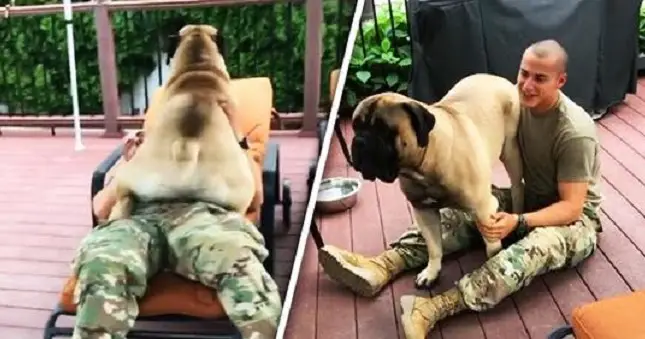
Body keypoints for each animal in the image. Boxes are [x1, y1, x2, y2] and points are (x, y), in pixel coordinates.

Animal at [348, 73, 524, 288]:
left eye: (384, 130)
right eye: (355, 126)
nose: (359, 141)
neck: (422, 166)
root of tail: (495, 77)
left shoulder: (483, 210)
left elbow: (492, 246)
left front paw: (492, 264)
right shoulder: (423, 211)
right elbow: (434, 247)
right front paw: (431, 272)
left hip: (511, 151)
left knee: (517, 186)